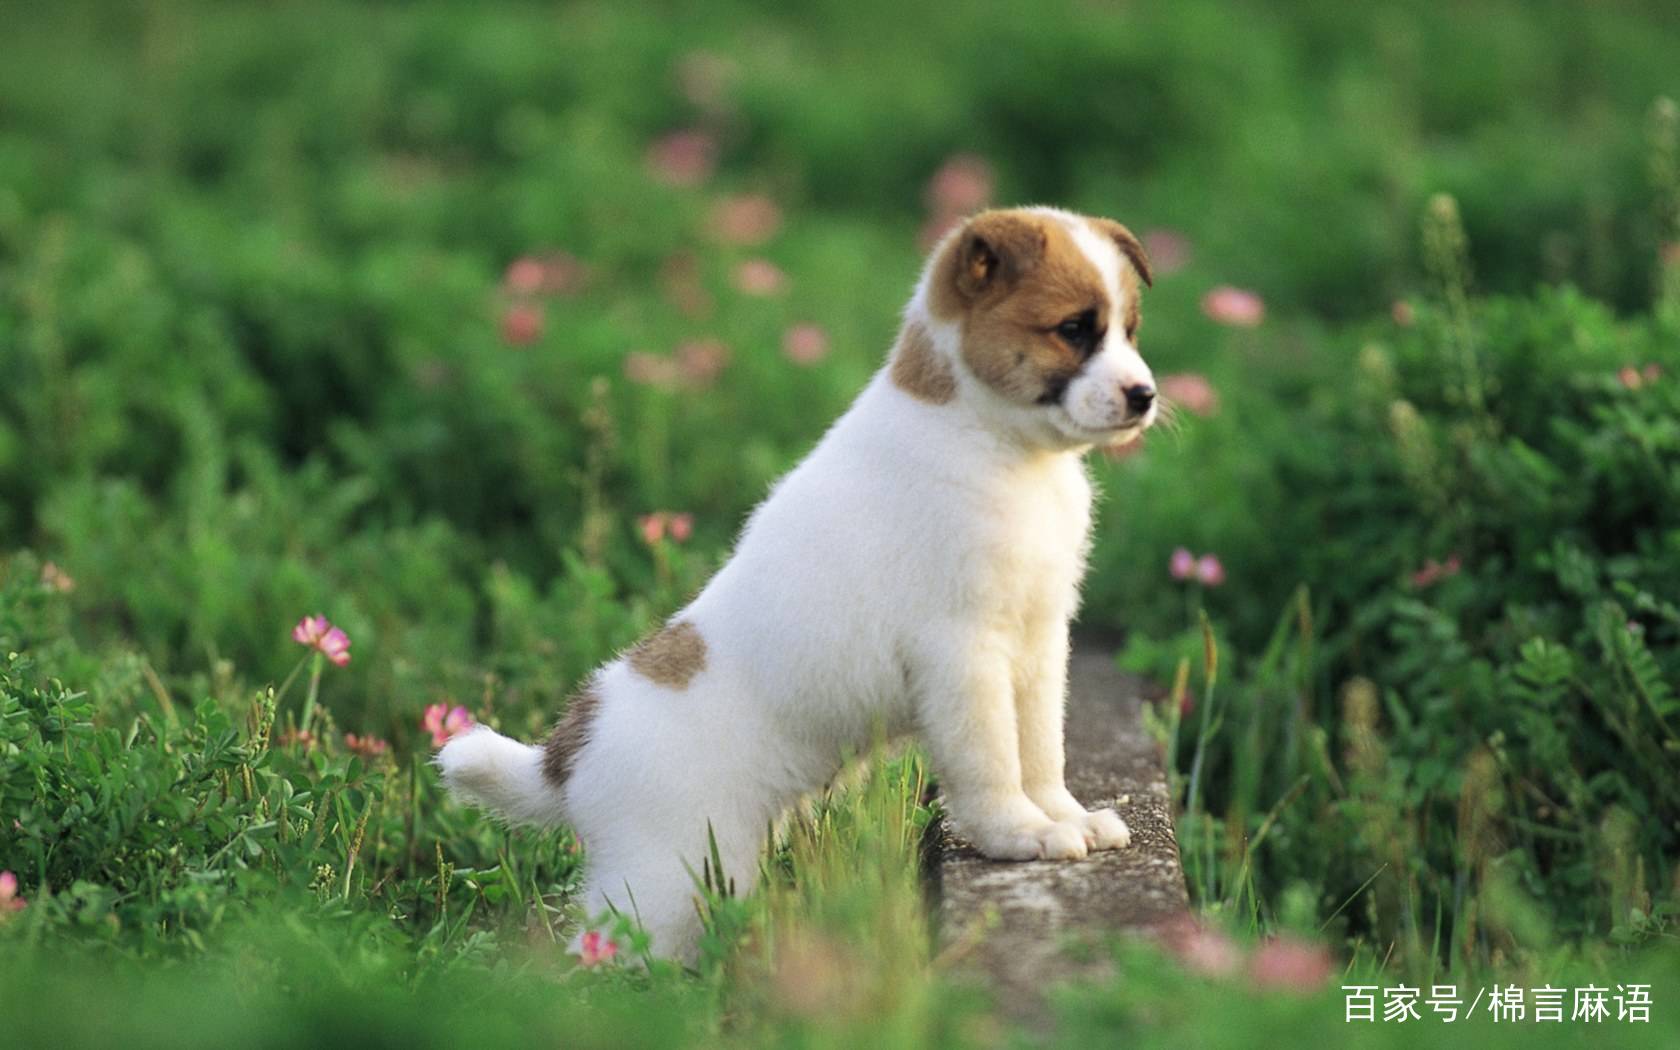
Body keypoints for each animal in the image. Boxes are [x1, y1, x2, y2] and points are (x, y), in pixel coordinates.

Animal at [440, 204, 1162, 960]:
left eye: (1129, 329)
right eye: (1073, 329)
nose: (1145, 396)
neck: (990, 439)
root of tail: (567, 756)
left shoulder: (1038, 643)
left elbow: (1041, 749)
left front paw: (1064, 817)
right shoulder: (963, 657)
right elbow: (993, 760)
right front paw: (1020, 835)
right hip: (665, 882)